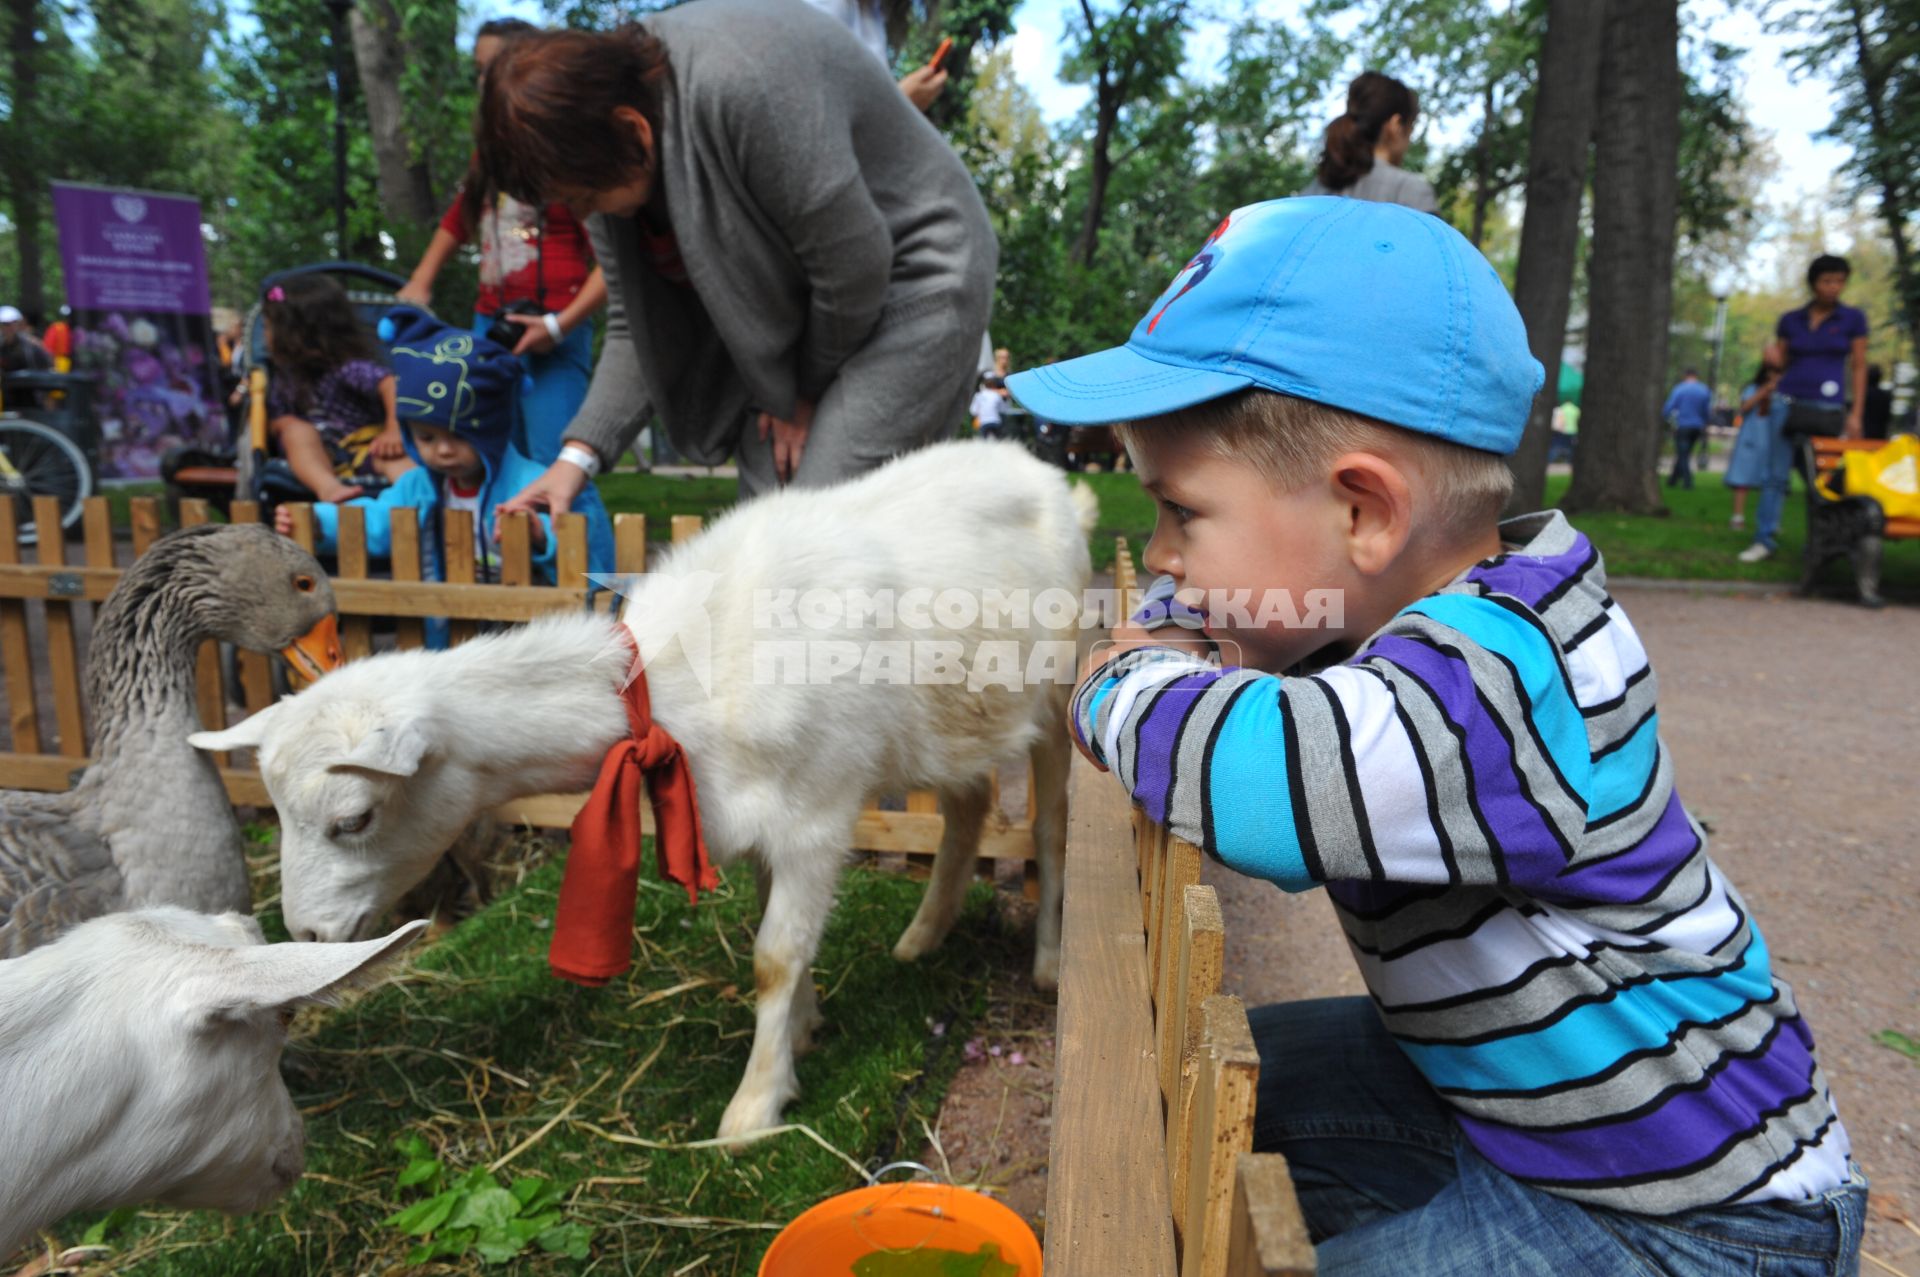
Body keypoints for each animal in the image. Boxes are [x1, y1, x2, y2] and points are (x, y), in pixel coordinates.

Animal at [196, 443, 1105, 1136]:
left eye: (354, 816)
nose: (309, 931)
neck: (666, 684)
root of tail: (1050, 474)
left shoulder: (815, 815)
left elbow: (774, 956)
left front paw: (752, 1108)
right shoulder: (752, 815)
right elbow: (780, 944)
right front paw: (804, 1032)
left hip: (1060, 692)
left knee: (1053, 827)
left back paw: (1049, 962)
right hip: (953, 721)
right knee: (969, 804)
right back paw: (922, 934)